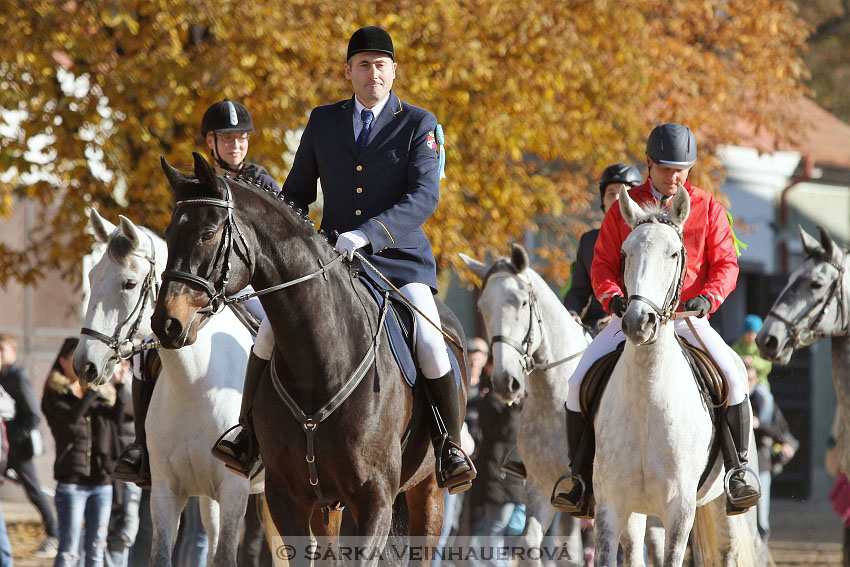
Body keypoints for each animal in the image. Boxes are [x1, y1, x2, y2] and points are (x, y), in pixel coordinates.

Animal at [72, 212, 258, 567]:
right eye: (90, 276)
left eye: (129, 283)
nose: (84, 365)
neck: (194, 385)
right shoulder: (166, 492)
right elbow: (161, 554)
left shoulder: (234, 489)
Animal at [151, 153, 470, 564]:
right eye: (169, 233)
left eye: (207, 233)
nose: (166, 323)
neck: (321, 362)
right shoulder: (287, 496)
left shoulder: (374, 501)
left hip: (427, 492)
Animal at [592, 187, 760, 567]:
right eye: (626, 252)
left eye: (673, 253)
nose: (638, 321)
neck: (647, 396)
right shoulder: (611, 505)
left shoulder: (680, 510)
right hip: (636, 514)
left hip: (722, 506)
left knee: (727, 550)